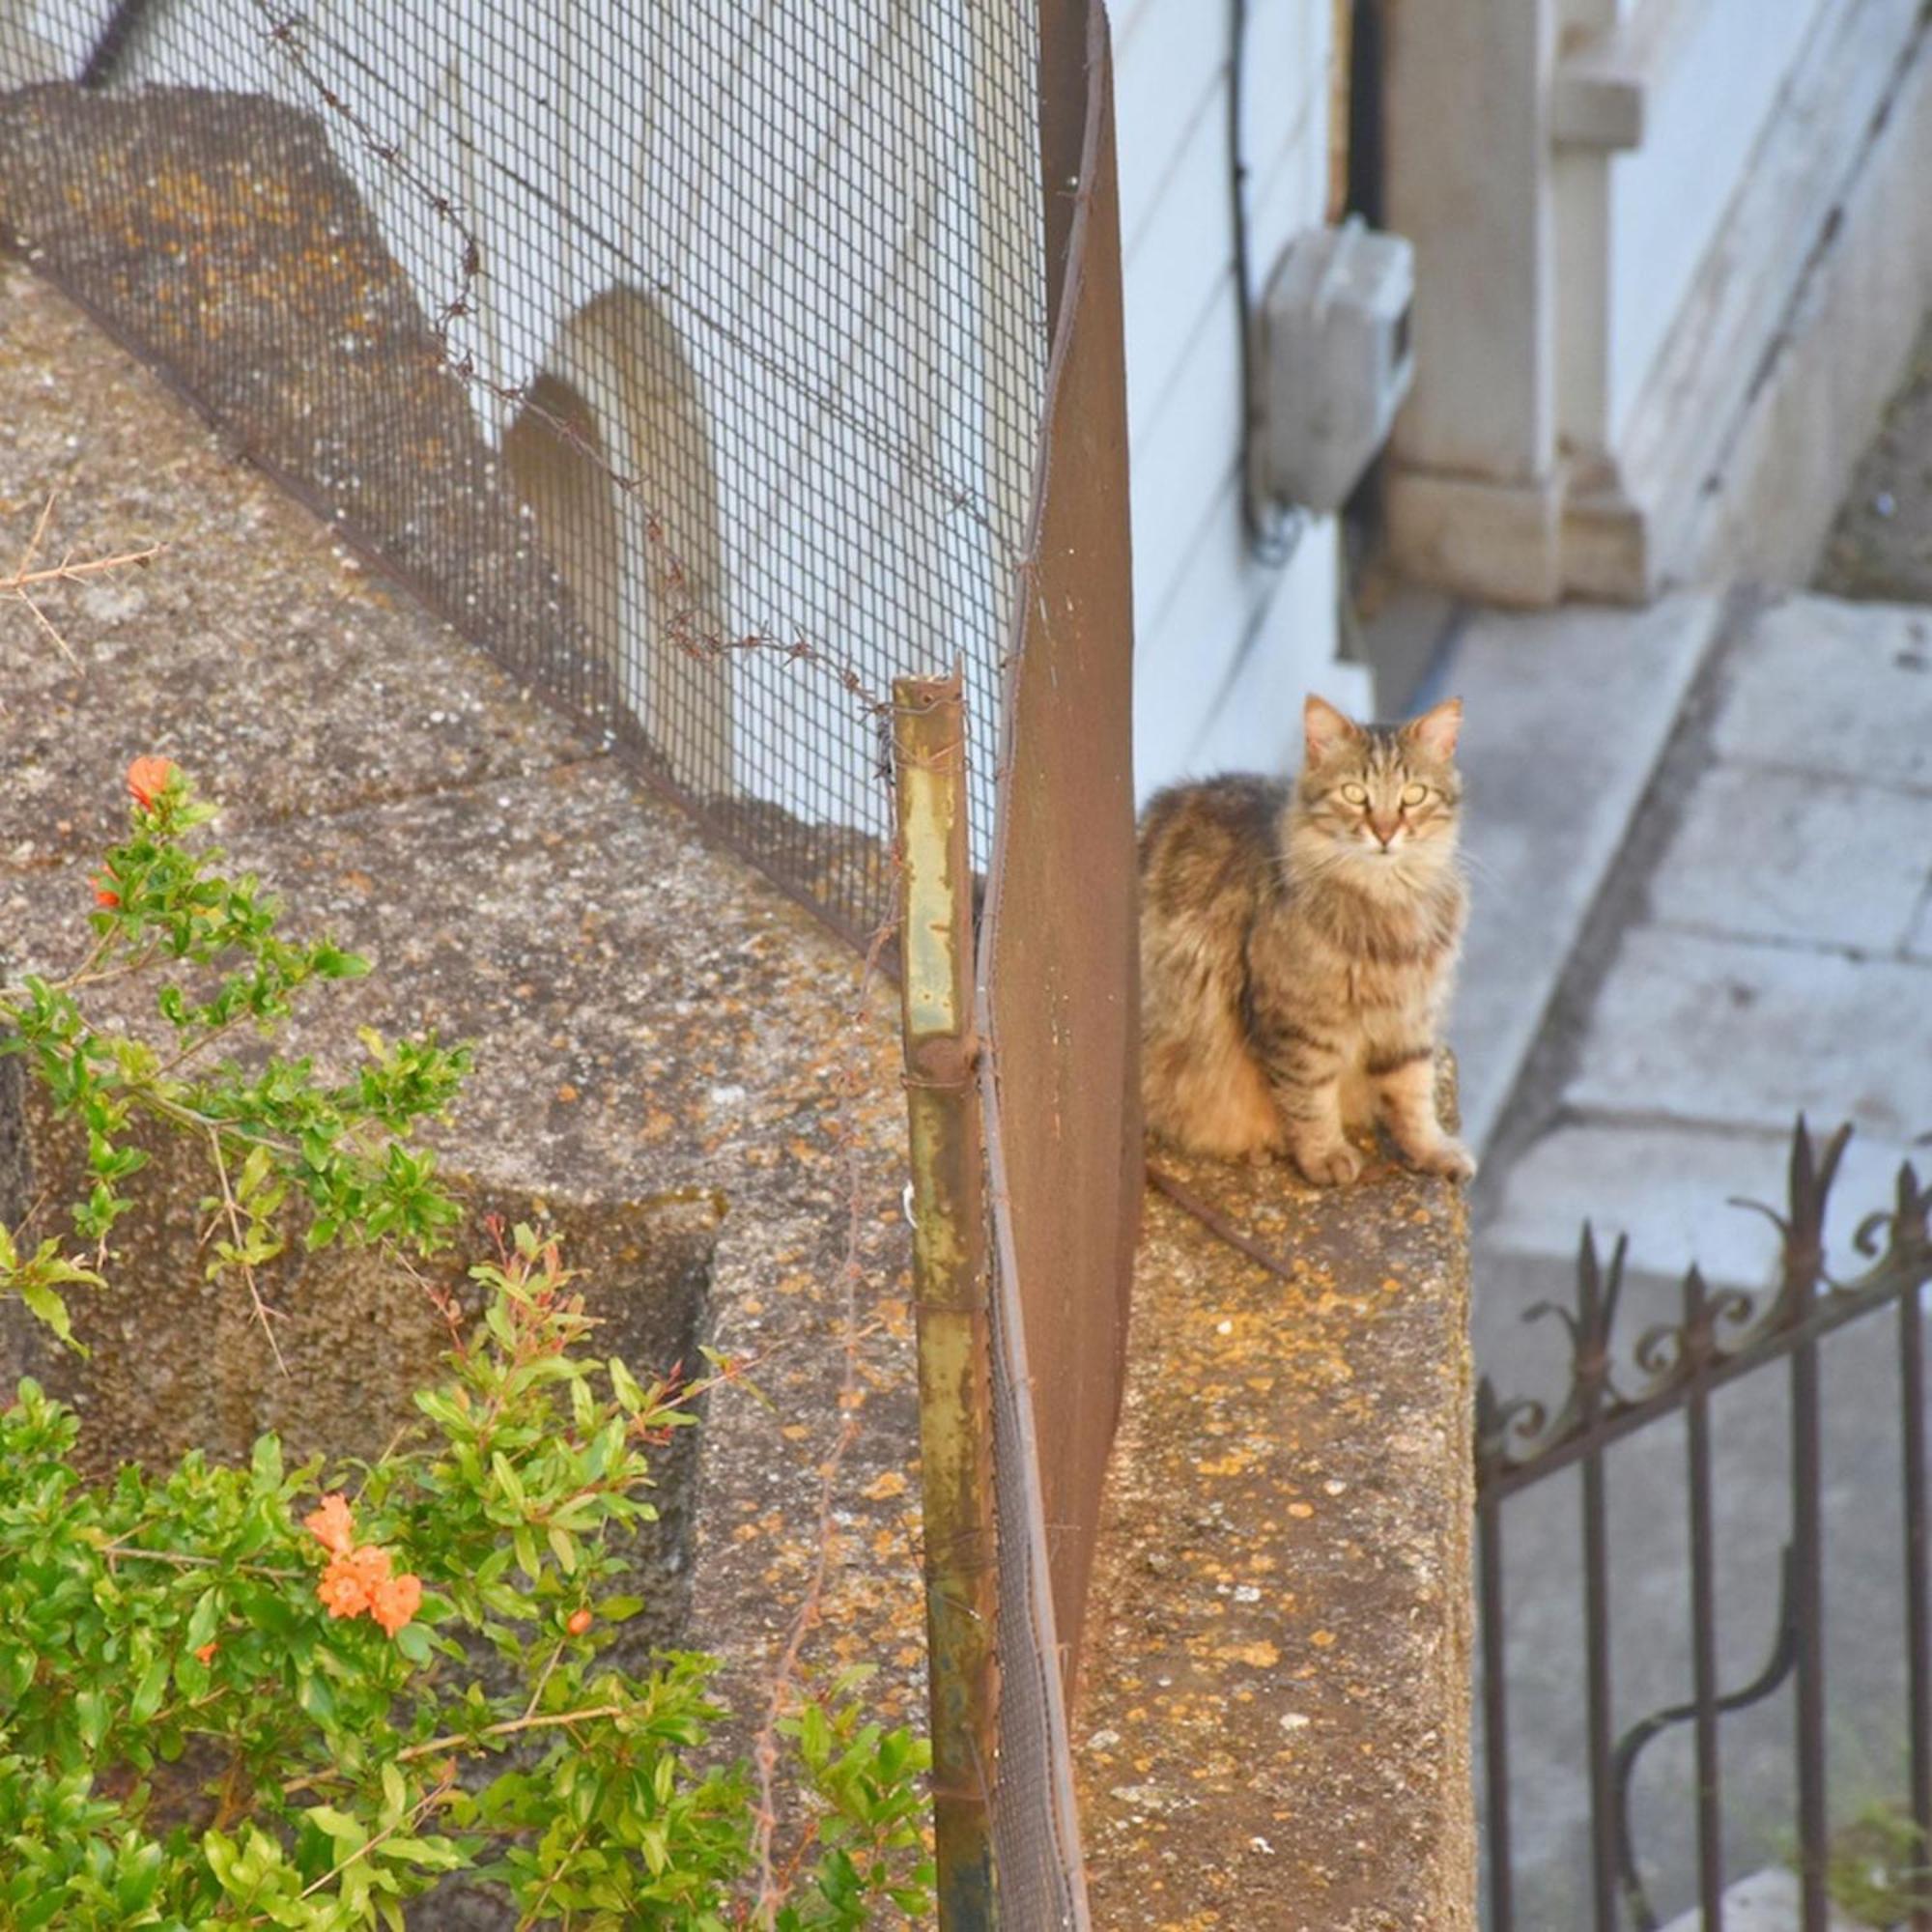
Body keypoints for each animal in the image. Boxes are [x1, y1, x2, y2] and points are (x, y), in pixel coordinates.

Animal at [1136, 688, 1468, 1182]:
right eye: (1354, 794)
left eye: (1414, 795)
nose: (1385, 832)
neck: (1388, 905)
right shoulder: (1296, 1026)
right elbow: (1310, 1099)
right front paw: (1326, 1156)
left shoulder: (1409, 1019)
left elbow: (1414, 1097)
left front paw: (1433, 1152)